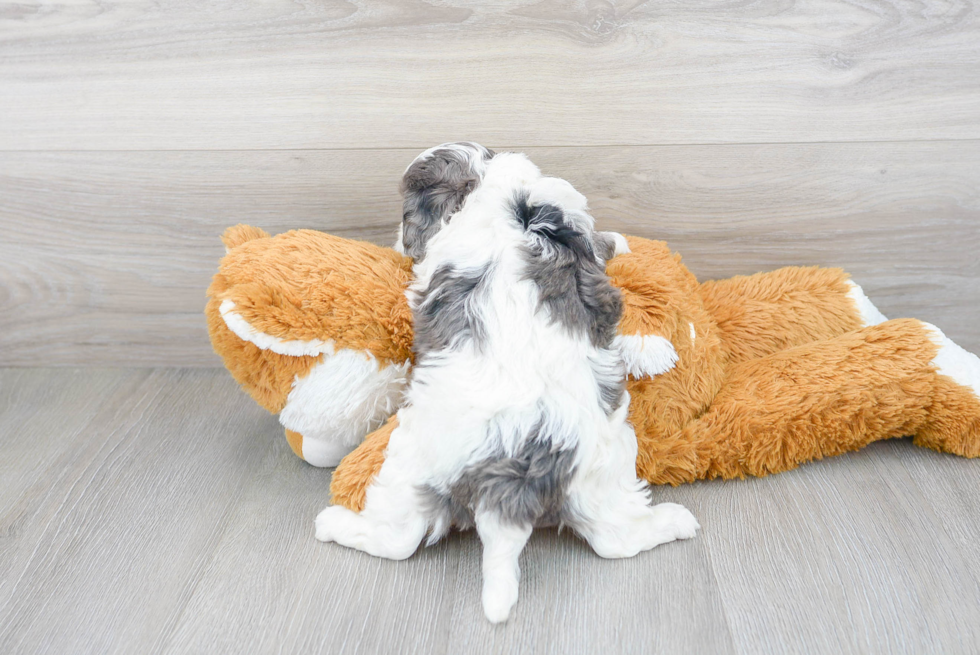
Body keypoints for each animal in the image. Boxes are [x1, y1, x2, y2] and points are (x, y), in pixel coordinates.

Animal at [314, 145, 696, 624]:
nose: (398, 239)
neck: (491, 187)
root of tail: (509, 480)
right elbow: (599, 239)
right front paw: (620, 242)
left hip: (410, 464)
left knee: (396, 538)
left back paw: (331, 524)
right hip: (599, 472)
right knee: (615, 539)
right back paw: (676, 523)